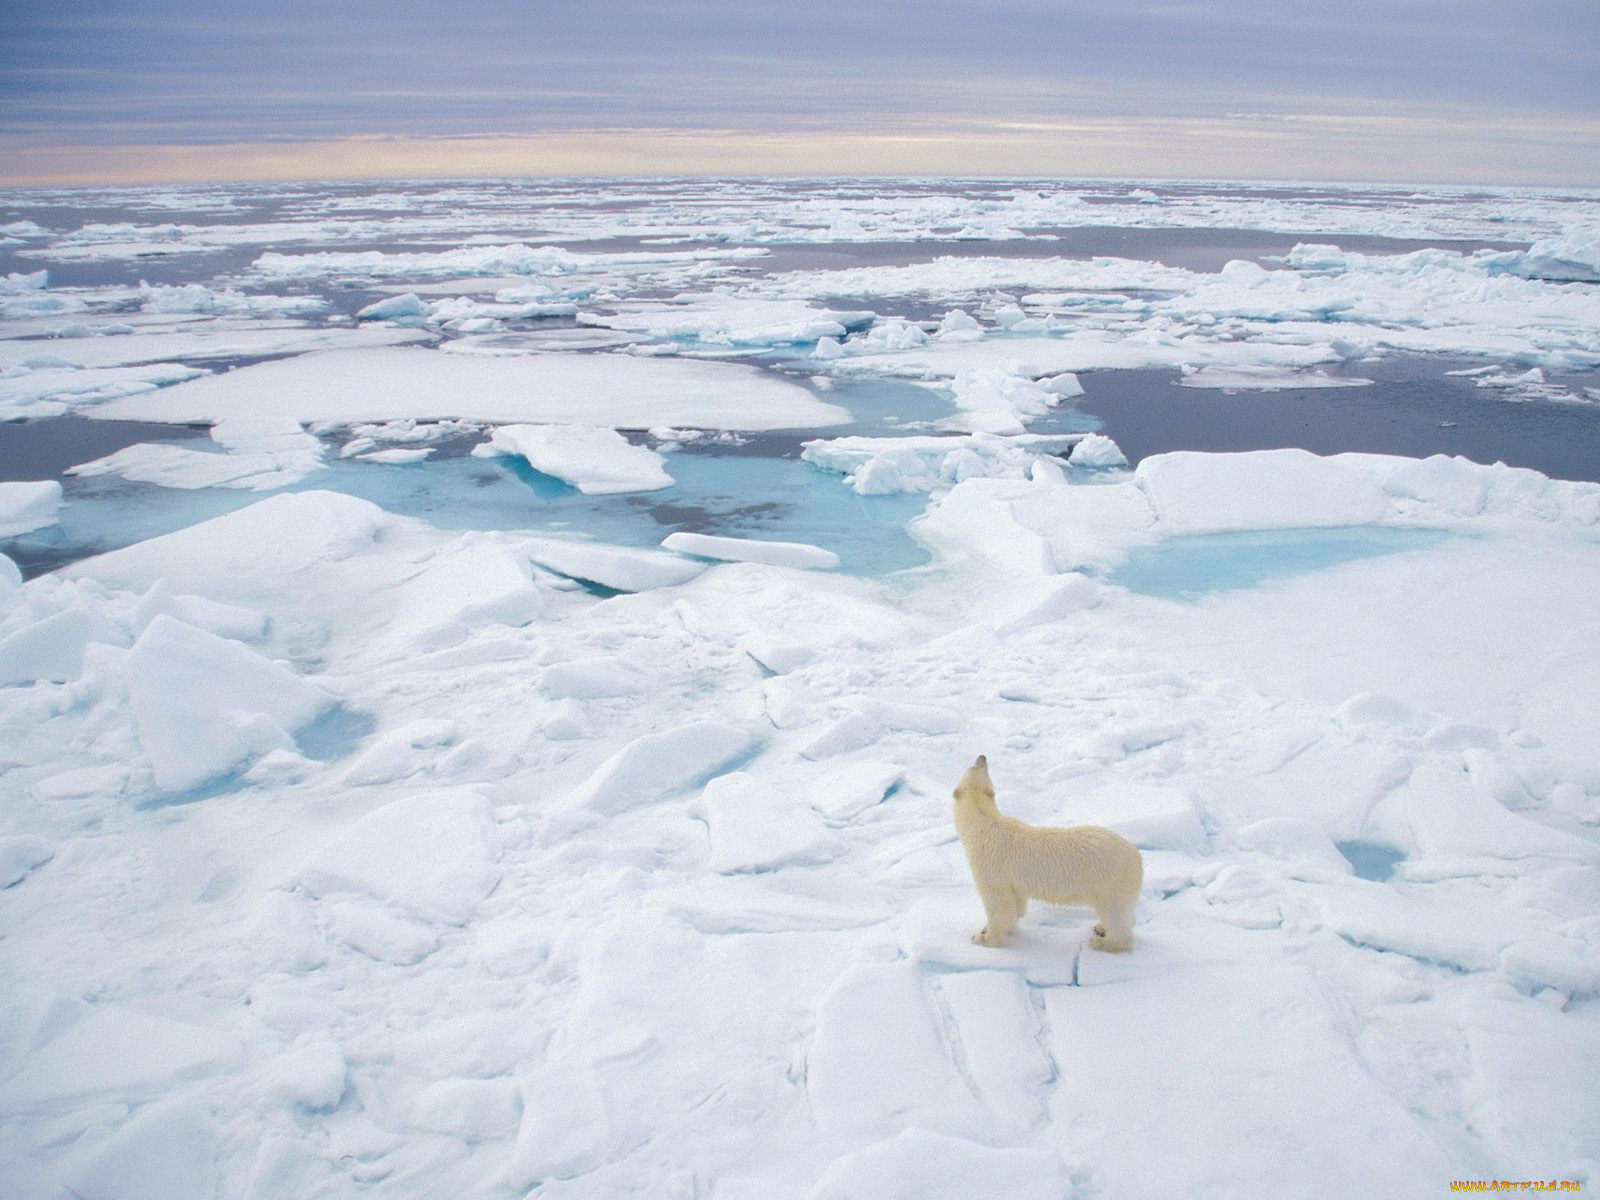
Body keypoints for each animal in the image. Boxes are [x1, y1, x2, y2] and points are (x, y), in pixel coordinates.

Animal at [947, 761, 1139, 947]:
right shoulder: (1014, 882)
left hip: (1110, 882)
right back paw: (1101, 928)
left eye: (975, 766)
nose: (982, 756)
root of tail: (1137, 857)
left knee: (1114, 914)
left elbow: (1000, 907)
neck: (984, 825)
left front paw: (982, 938)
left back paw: (1101, 941)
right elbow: (1016, 904)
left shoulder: (991, 867)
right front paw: (990, 929)